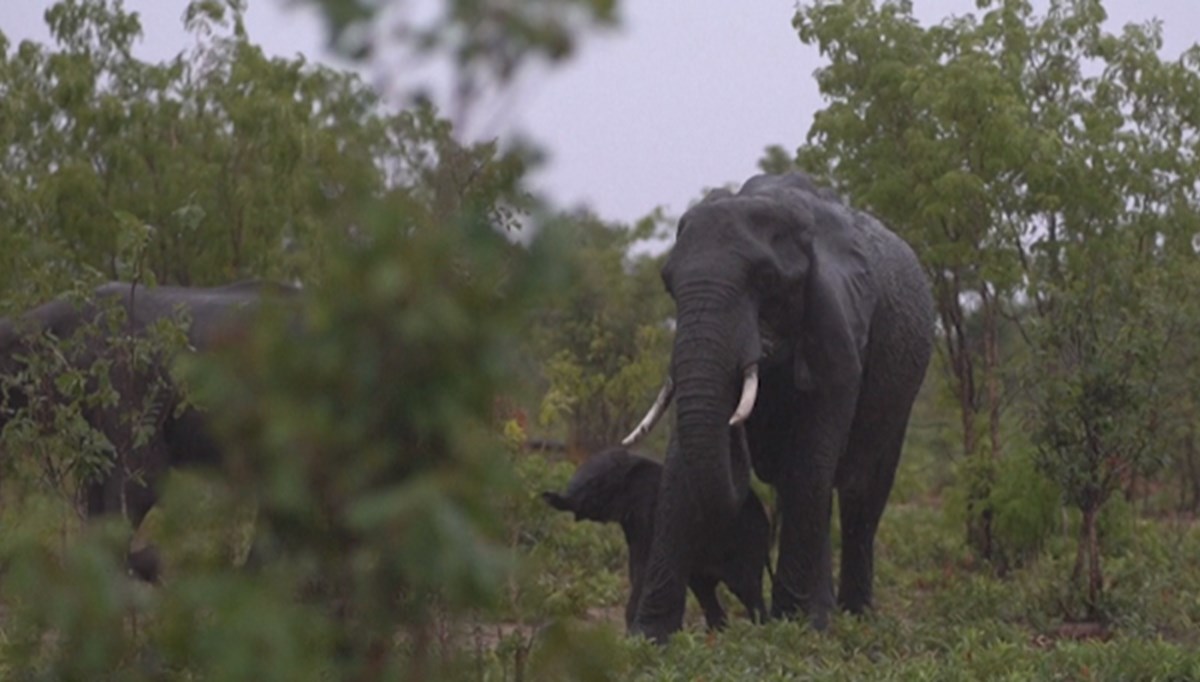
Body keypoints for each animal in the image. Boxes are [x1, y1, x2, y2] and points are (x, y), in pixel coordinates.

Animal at [542, 444, 768, 629]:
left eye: (597, 484)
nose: (546, 495)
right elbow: (637, 567)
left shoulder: (651, 510)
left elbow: (644, 566)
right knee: (704, 589)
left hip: (748, 543)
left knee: (746, 588)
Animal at [624, 172, 931, 643]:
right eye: (668, 284)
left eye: (766, 280)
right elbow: (680, 465)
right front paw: (648, 638)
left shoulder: (839, 330)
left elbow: (810, 463)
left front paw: (793, 629)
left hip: (901, 391)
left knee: (859, 490)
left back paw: (852, 617)